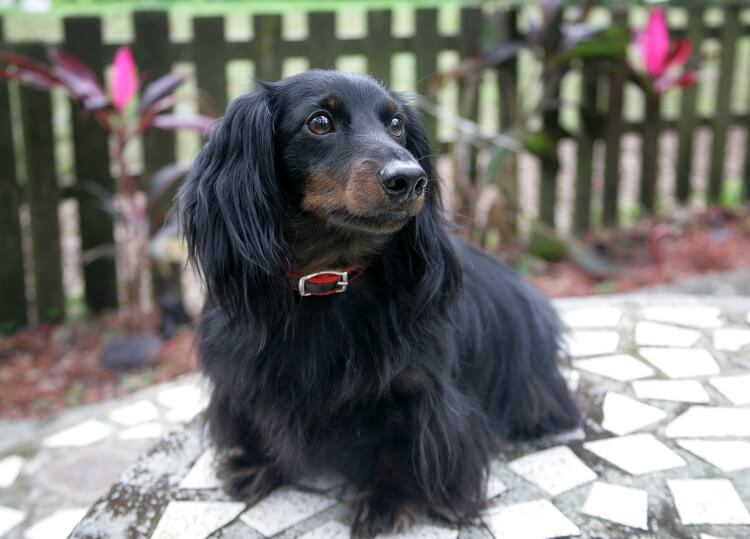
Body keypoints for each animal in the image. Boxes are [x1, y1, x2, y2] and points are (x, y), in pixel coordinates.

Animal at [178, 70, 580, 536]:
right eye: (319, 122)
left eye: (397, 124)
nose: (410, 179)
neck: (328, 280)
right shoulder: (243, 374)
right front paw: (256, 462)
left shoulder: (419, 390)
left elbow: (401, 444)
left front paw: (388, 497)